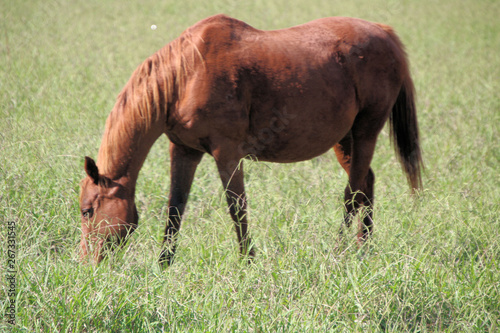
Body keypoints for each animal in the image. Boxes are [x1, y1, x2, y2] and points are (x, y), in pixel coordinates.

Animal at [78, 14, 422, 264]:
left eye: (87, 211)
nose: (87, 265)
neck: (186, 75)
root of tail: (384, 32)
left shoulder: (227, 153)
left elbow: (237, 209)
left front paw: (248, 263)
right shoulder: (184, 151)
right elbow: (175, 209)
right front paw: (163, 265)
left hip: (366, 131)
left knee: (353, 194)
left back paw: (339, 252)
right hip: (345, 140)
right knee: (365, 184)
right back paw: (364, 251)